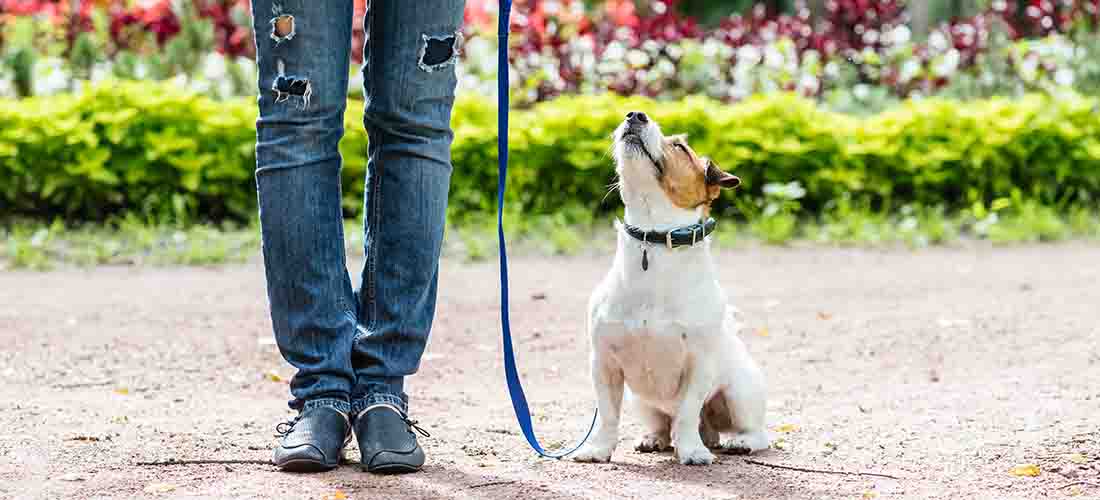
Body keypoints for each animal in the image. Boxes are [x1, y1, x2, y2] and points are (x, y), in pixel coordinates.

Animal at [572, 111, 770, 468]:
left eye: (680, 147)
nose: (635, 114)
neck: (654, 236)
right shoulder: (604, 363)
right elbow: (607, 415)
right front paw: (598, 449)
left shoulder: (699, 364)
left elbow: (688, 411)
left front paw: (691, 451)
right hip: (641, 401)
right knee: (664, 423)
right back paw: (655, 438)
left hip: (740, 393)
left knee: (754, 431)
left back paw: (738, 442)